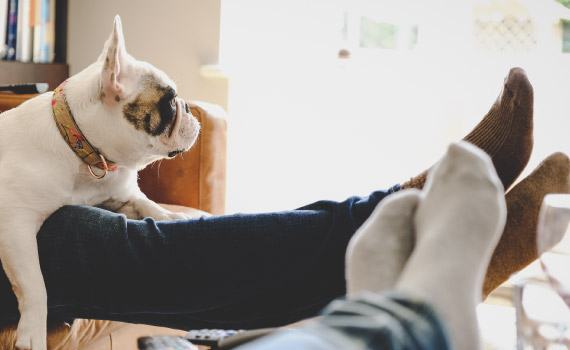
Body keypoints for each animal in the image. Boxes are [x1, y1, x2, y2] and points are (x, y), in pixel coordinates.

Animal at [0, 16, 200, 350]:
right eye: (170, 103)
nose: (188, 108)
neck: (84, 153)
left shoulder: (121, 195)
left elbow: (148, 204)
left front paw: (173, 215)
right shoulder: (15, 224)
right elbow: (34, 284)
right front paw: (33, 332)